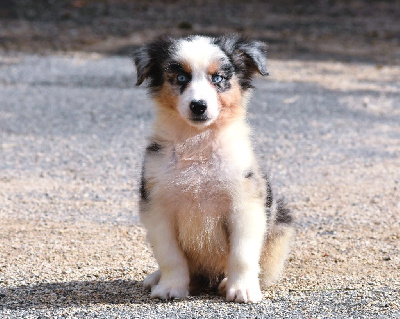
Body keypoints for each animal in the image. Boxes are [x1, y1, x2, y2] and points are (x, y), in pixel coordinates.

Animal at [134, 33, 294, 304]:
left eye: (217, 78)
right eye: (180, 78)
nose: (199, 106)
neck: (198, 143)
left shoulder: (246, 205)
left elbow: (242, 255)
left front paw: (242, 290)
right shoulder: (157, 207)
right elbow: (170, 256)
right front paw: (170, 288)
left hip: (280, 225)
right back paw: (157, 278)